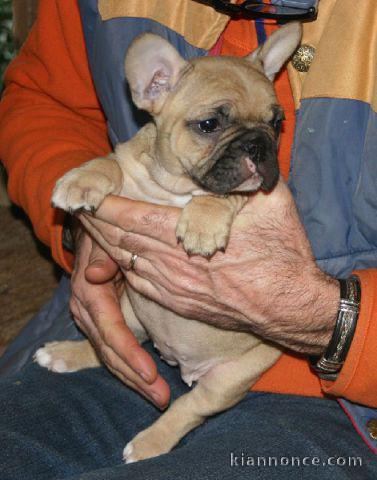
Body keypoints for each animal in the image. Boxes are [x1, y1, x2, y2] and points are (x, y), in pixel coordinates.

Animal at [34, 23, 300, 464]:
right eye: (209, 124)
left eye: (277, 125)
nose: (258, 146)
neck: (175, 188)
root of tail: (182, 364)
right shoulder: (128, 169)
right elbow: (108, 163)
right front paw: (81, 180)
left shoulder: (248, 198)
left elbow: (225, 195)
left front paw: (203, 223)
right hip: (130, 314)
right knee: (108, 348)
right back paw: (64, 353)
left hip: (229, 379)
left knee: (187, 408)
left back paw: (149, 443)